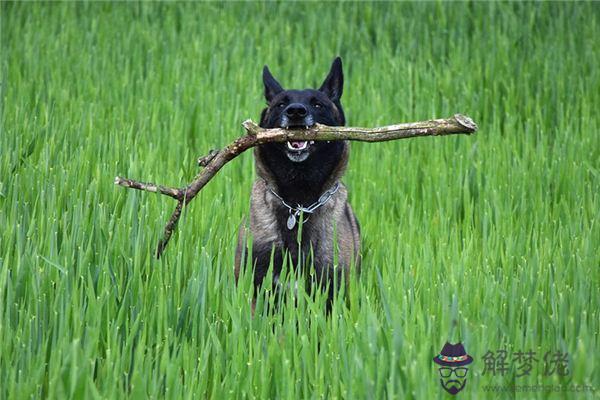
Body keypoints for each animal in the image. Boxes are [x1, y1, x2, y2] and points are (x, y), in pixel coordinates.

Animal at [234, 57, 358, 310]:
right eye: (281, 104)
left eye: (318, 104)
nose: (296, 112)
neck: (298, 202)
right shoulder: (255, 290)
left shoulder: (333, 292)